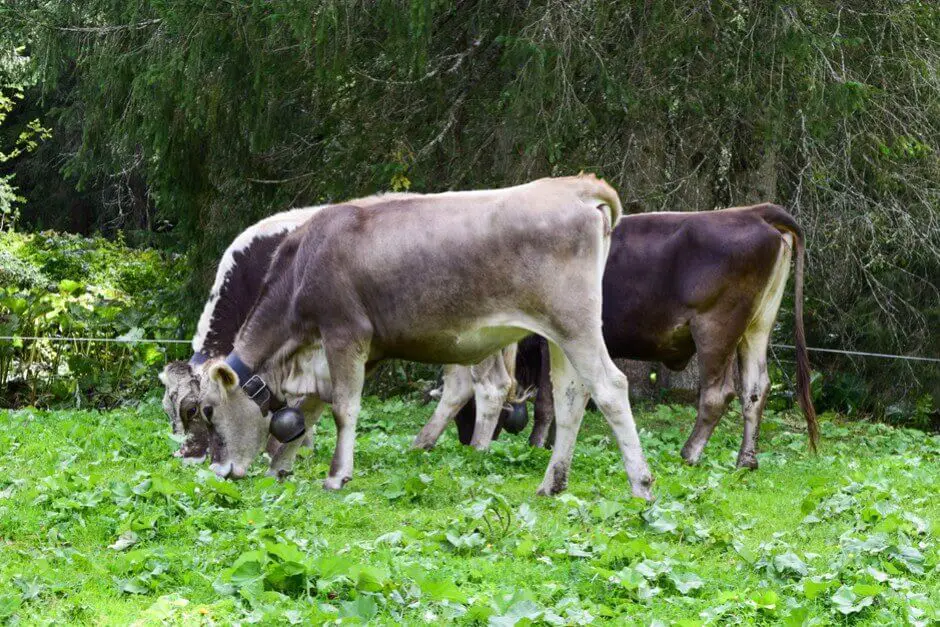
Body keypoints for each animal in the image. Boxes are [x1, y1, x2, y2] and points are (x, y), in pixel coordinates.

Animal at [196, 175, 656, 500]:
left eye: (207, 411)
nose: (220, 473)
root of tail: (576, 186)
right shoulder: (333, 354)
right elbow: (308, 410)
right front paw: (280, 468)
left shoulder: (345, 334)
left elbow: (343, 408)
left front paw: (336, 475)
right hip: (559, 337)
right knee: (571, 397)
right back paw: (552, 484)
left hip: (575, 324)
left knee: (610, 387)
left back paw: (641, 486)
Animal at [444, 204, 820, 468]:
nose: (463, 438)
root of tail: (753, 211)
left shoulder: (550, 341)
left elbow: (548, 399)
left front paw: (537, 444)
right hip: (756, 328)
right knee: (755, 390)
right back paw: (746, 460)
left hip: (716, 328)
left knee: (718, 393)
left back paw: (689, 453)